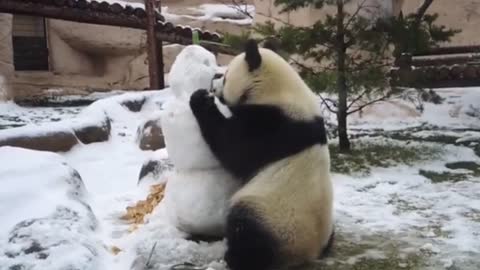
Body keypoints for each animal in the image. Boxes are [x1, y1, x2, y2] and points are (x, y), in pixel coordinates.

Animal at [188, 39, 334, 270]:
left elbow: (233, 148)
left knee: (246, 231)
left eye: (226, 76)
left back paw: (234, 257)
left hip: (271, 213)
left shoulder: (273, 125)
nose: (214, 79)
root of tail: (308, 254)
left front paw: (200, 99)